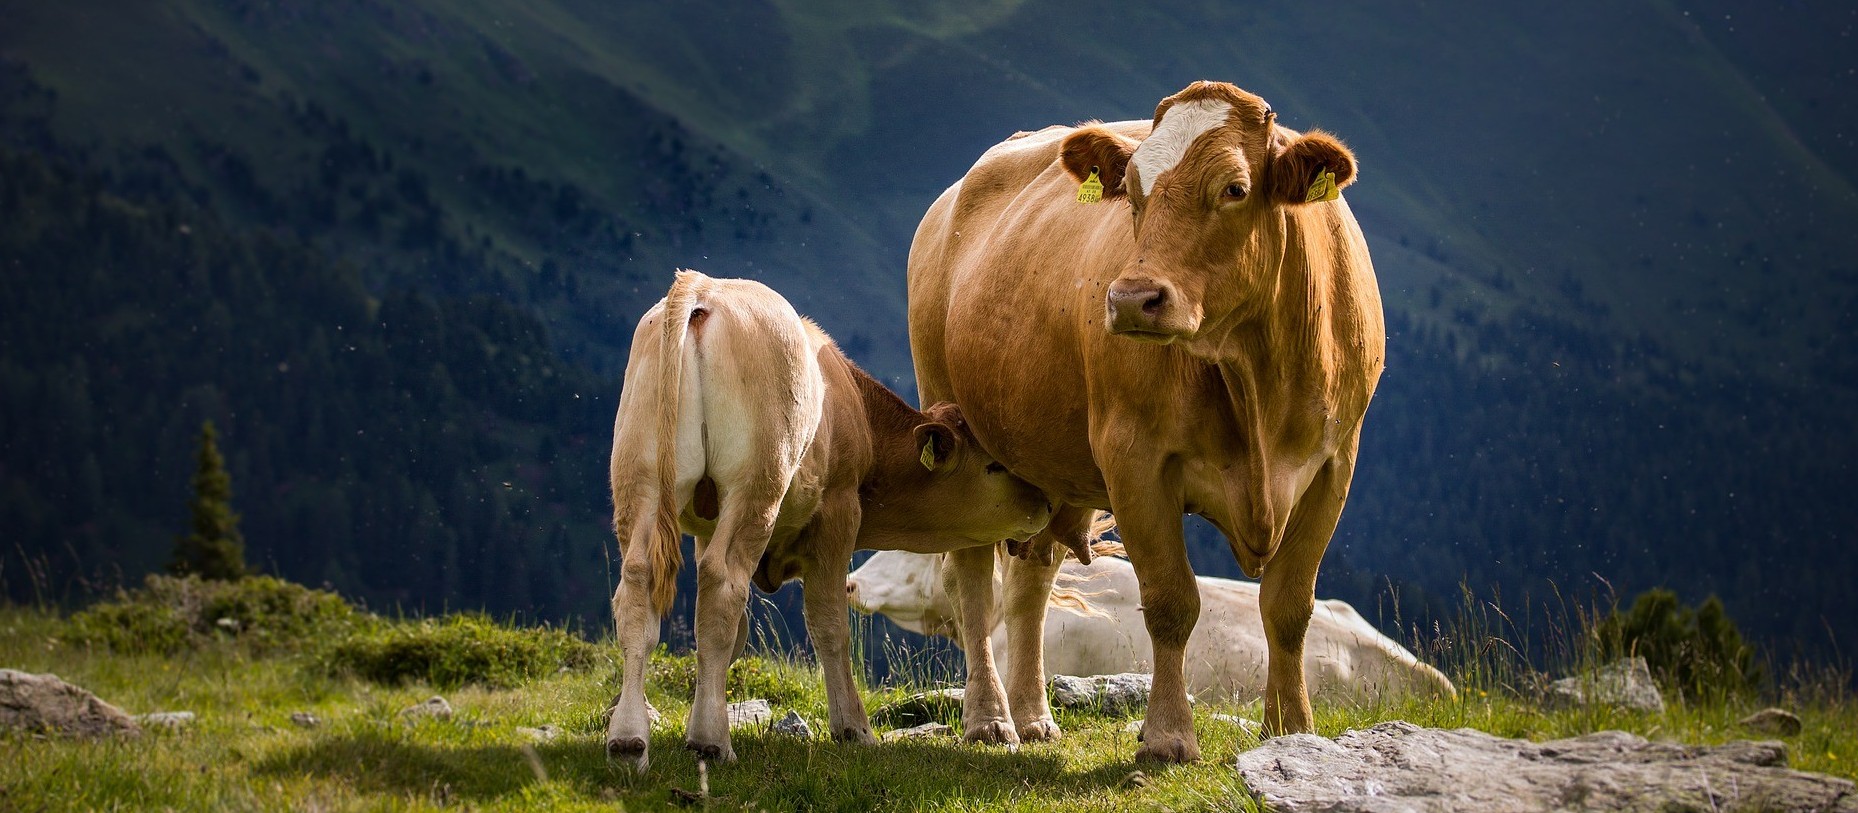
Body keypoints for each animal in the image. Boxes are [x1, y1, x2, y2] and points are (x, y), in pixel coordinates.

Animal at [605, 269, 1055, 764]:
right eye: (994, 465)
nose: (1046, 502)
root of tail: (704, 289)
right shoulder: (839, 513)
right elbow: (829, 624)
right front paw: (853, 727)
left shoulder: (707, 526)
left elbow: (730, 634)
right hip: (756, 484)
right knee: (723, 583)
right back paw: (711, 741)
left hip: (639, 478)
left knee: (638, 585)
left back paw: (628, 738)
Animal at [906, 81, 1389, 761]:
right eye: (1132, 191)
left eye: (1235, 188)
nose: (1133, 298)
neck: (1254, 375)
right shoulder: (1134, 458)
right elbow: (1169, 601)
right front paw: (1167, 735)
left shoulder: (1334, 463)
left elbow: (1291, 604)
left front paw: (1292, 729)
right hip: (953, 419)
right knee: (973, 578)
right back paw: (991, 719)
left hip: (1043, 463)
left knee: (1032, 578)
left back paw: (1033, 715)